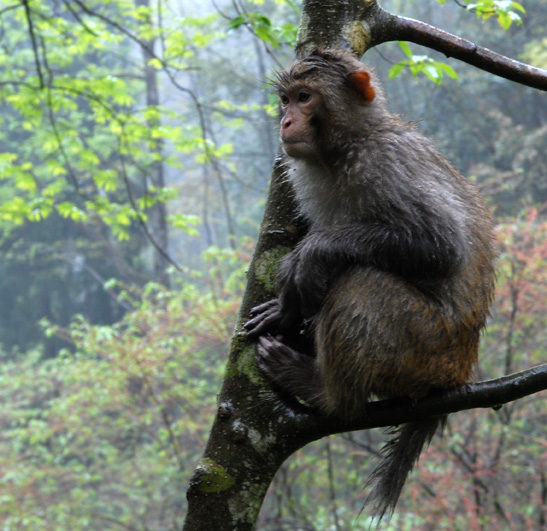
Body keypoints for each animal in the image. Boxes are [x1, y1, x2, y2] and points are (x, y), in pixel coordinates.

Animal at [244, 50, 496, 520]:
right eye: (286, 99)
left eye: (304, 98)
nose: (285, 122)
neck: (342, 149)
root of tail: (459, 371)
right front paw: (289, 302)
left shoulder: (385, 163)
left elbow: (440, 243)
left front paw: (307, 257)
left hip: (424, 348)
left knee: (364, 280)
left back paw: (326, 393)